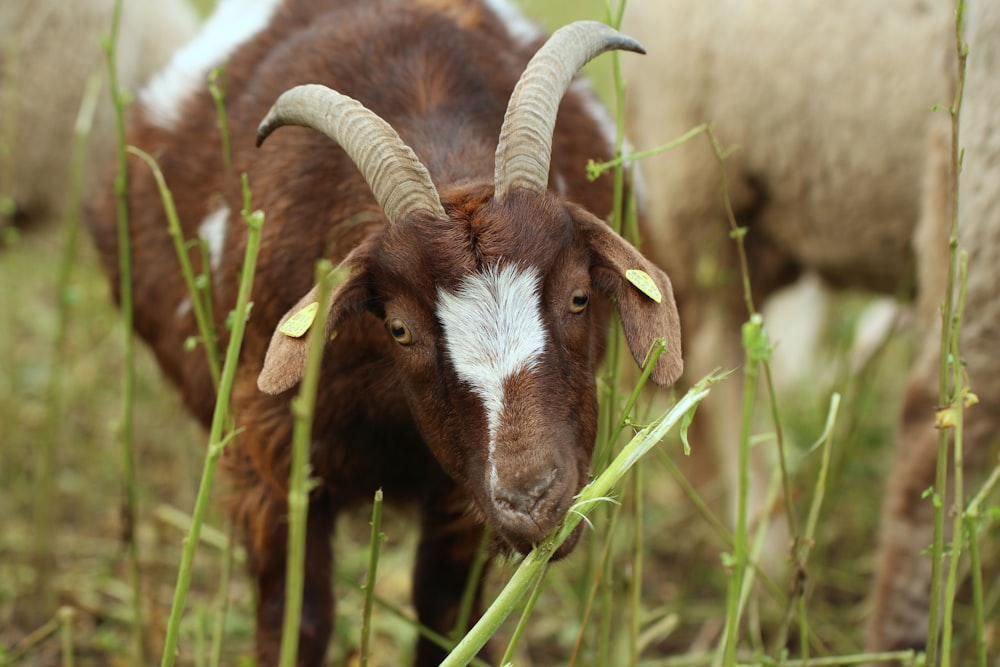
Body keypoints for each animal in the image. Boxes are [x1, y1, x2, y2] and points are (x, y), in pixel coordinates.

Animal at [86, 2, 684, 664]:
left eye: (579, 296)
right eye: (399, 328)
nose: (532, 500)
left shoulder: (460, 500)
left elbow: (449, 617)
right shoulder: (270, 463)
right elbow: (296, 621)